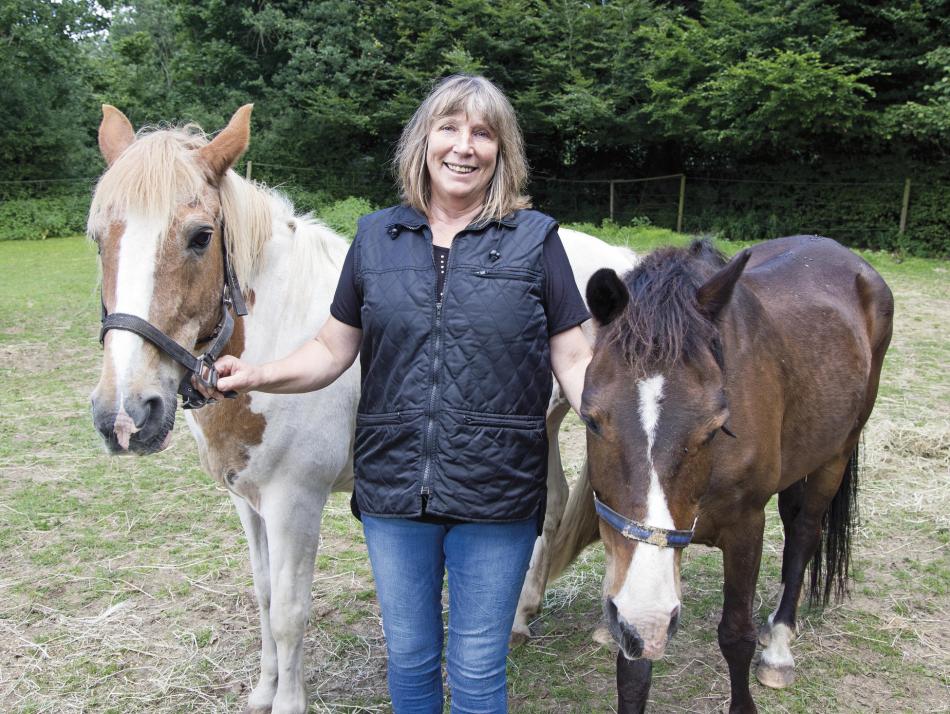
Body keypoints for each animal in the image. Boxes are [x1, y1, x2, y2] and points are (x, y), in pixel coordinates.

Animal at [576, 239, 896, 712]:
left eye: (714, 427)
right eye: (592, 420)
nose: (646, 618)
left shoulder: (746, 525)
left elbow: (735, 636)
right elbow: (633, 669)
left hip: (835, 455)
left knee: (804, 533)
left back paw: (779, 645)